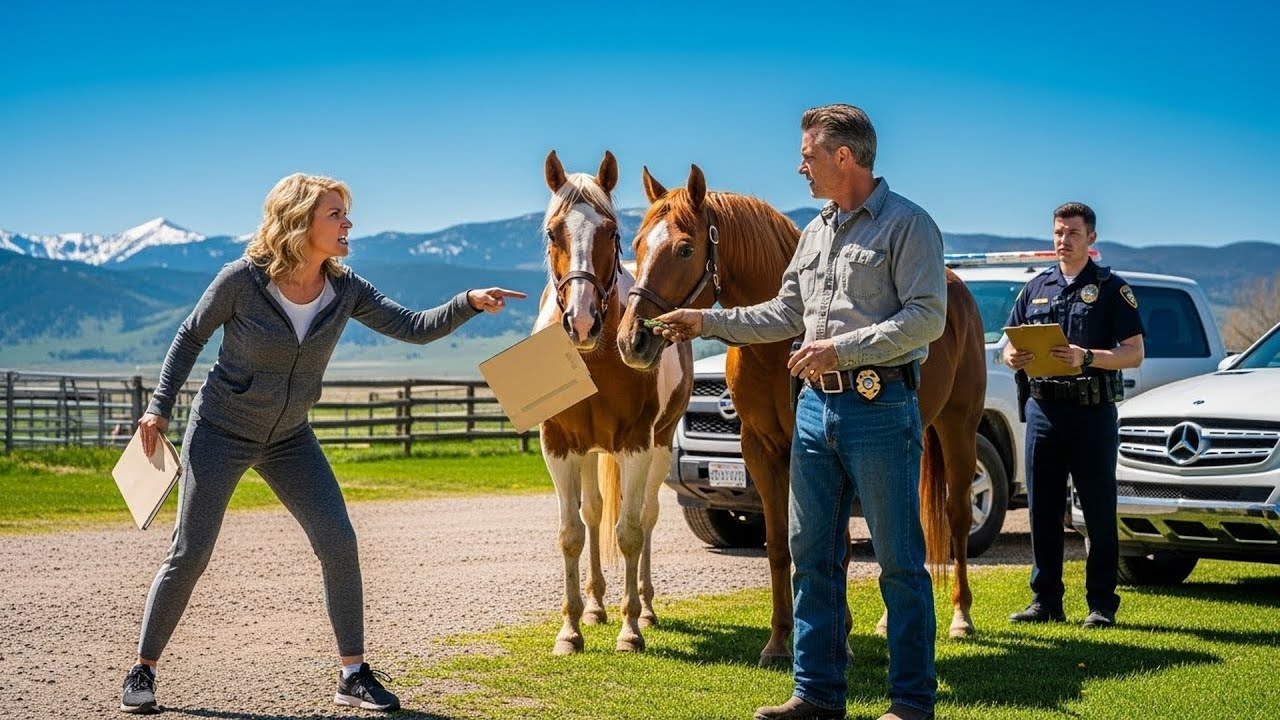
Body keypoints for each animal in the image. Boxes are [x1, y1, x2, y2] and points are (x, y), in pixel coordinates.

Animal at [537, 150, 694, 655]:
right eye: (553, 232)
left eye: (611, 232)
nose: (582, 321)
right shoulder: (559, 446)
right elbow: (570, 534)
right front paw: (570, 630)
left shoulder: (636, 444)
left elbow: (629, 533)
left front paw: (630, 630)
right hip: (589, 452)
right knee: (593, 513)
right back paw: (595, 606)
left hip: (659, 444)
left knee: (645, 515)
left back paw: (643, 608)